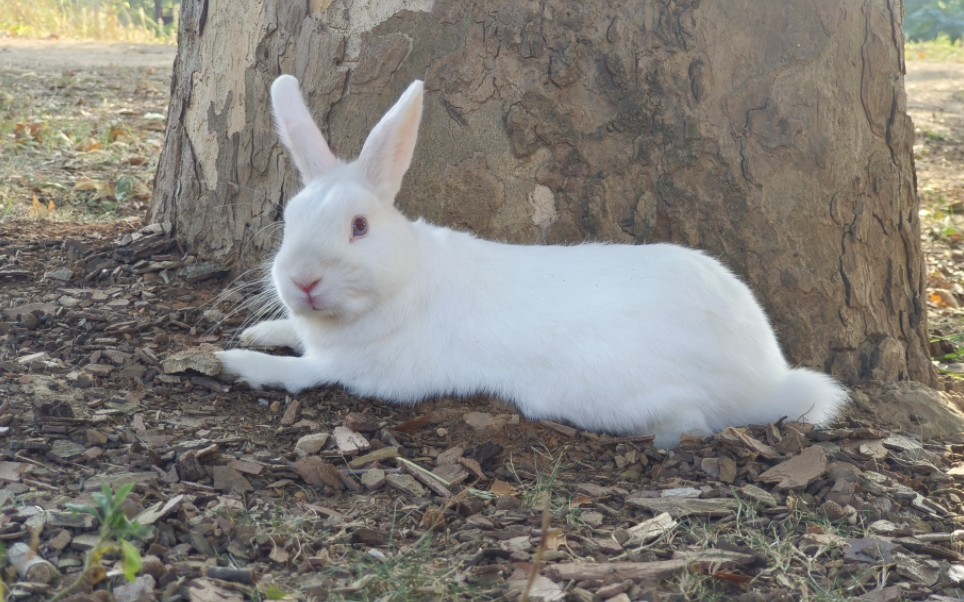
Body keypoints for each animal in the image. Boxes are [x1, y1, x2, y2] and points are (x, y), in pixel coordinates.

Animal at [215, 74, 848, 446]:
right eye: (289, 219)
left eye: (359, 227)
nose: (303, 280)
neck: (403, 278)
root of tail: (768, 376)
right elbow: (288, 336)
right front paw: (259, 331)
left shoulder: (358, 370)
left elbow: (303, 374)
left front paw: (238, 362)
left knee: (692, 424)